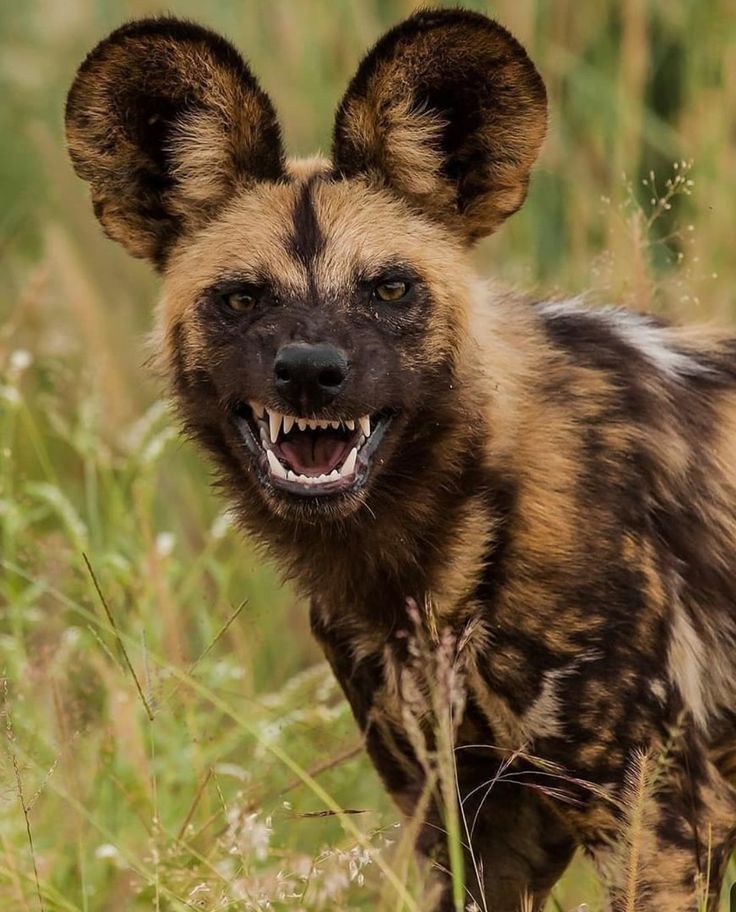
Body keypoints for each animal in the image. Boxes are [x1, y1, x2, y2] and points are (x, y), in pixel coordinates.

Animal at [64, 8, 736, 912]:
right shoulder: (467, 826)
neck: (428, 556)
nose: (311, 371)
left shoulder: (660, 822)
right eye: (240, 297)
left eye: (388, 289)